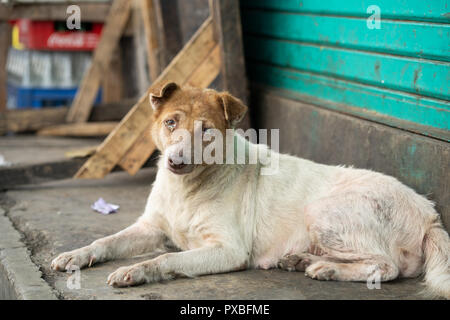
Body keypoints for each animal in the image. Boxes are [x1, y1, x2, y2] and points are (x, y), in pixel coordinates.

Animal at [51, 81, 448, 298]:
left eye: (206, 130)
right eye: (171, 123)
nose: (175, 161)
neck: (186, 189)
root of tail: (428, 214)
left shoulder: (228, 250)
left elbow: (166, 260)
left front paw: (137, 271)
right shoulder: (151, 227)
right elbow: (106, 241)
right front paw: (76, 255)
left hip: (324, 212)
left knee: (387, 266)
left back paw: (327, 270)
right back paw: (303, 260)